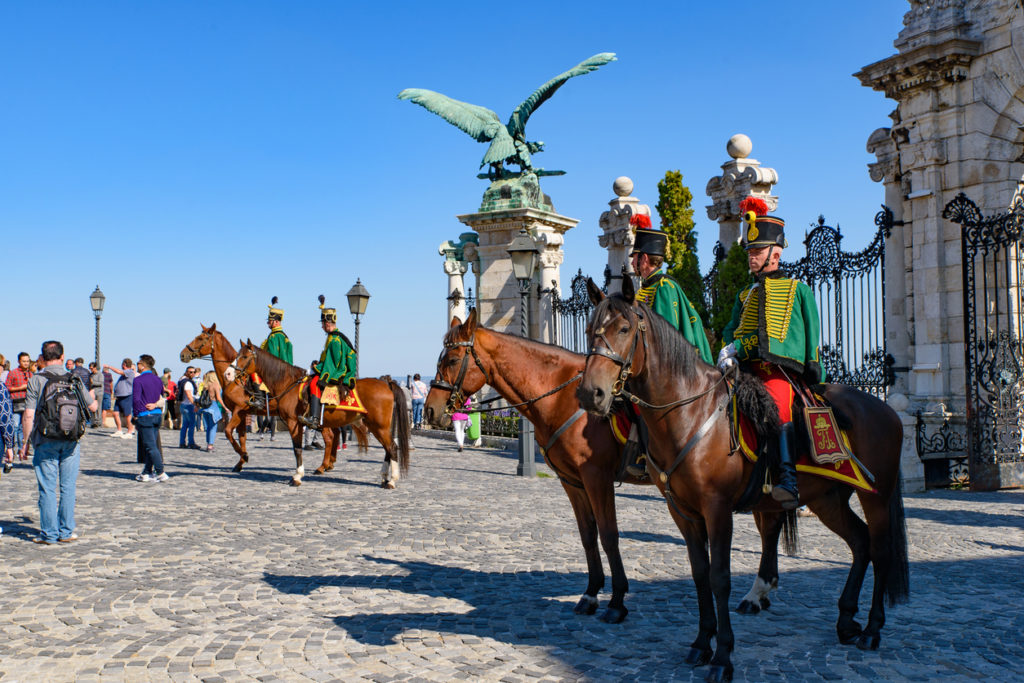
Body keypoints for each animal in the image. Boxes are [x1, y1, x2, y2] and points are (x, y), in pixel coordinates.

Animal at [179, 325, 368, 475]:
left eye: (201, 338)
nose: (182, 354)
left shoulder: (238, 411)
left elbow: (227, 432)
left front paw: (244, 456)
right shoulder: (243, 413)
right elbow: (242, 438)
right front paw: (240, 462)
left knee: (329, 437)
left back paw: (323, 466)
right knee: (333, 436)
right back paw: (329, 464)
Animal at [232, 342, 407, 485]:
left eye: (245, 356)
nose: (230, 373)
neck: (288, 384)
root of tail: (386, 383)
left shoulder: (293, 422)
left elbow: (297, 449)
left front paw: (297, 476)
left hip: (379, 426)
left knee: (392, 447)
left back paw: (392, 480)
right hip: (376, 426)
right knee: (387, 448)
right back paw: (384, 477)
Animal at [423, 313, 798, 626]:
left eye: (452, 360)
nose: (429, 410)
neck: (562, 397)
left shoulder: (597, 478)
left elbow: (609, 535)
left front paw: (617, 601)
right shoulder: (572, 482)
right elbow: (588, 536)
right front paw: (591, 593)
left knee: (769, 527)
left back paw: (757, 591)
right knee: (770, 527)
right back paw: (762, 591)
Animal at [577, 278, 913, 683]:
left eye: (625, 329)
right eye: (589, 330)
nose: (590, 393)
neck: (688, 412)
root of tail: (885, 409)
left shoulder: (717, 508)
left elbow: (720, 577)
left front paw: (723, 657)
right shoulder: (682, 511)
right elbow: (699, 573)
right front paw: (701, 643)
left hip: (875, 496)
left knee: (880, 549)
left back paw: (873, 629)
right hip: (827, 499)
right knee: (860, 542)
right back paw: (847, 620)